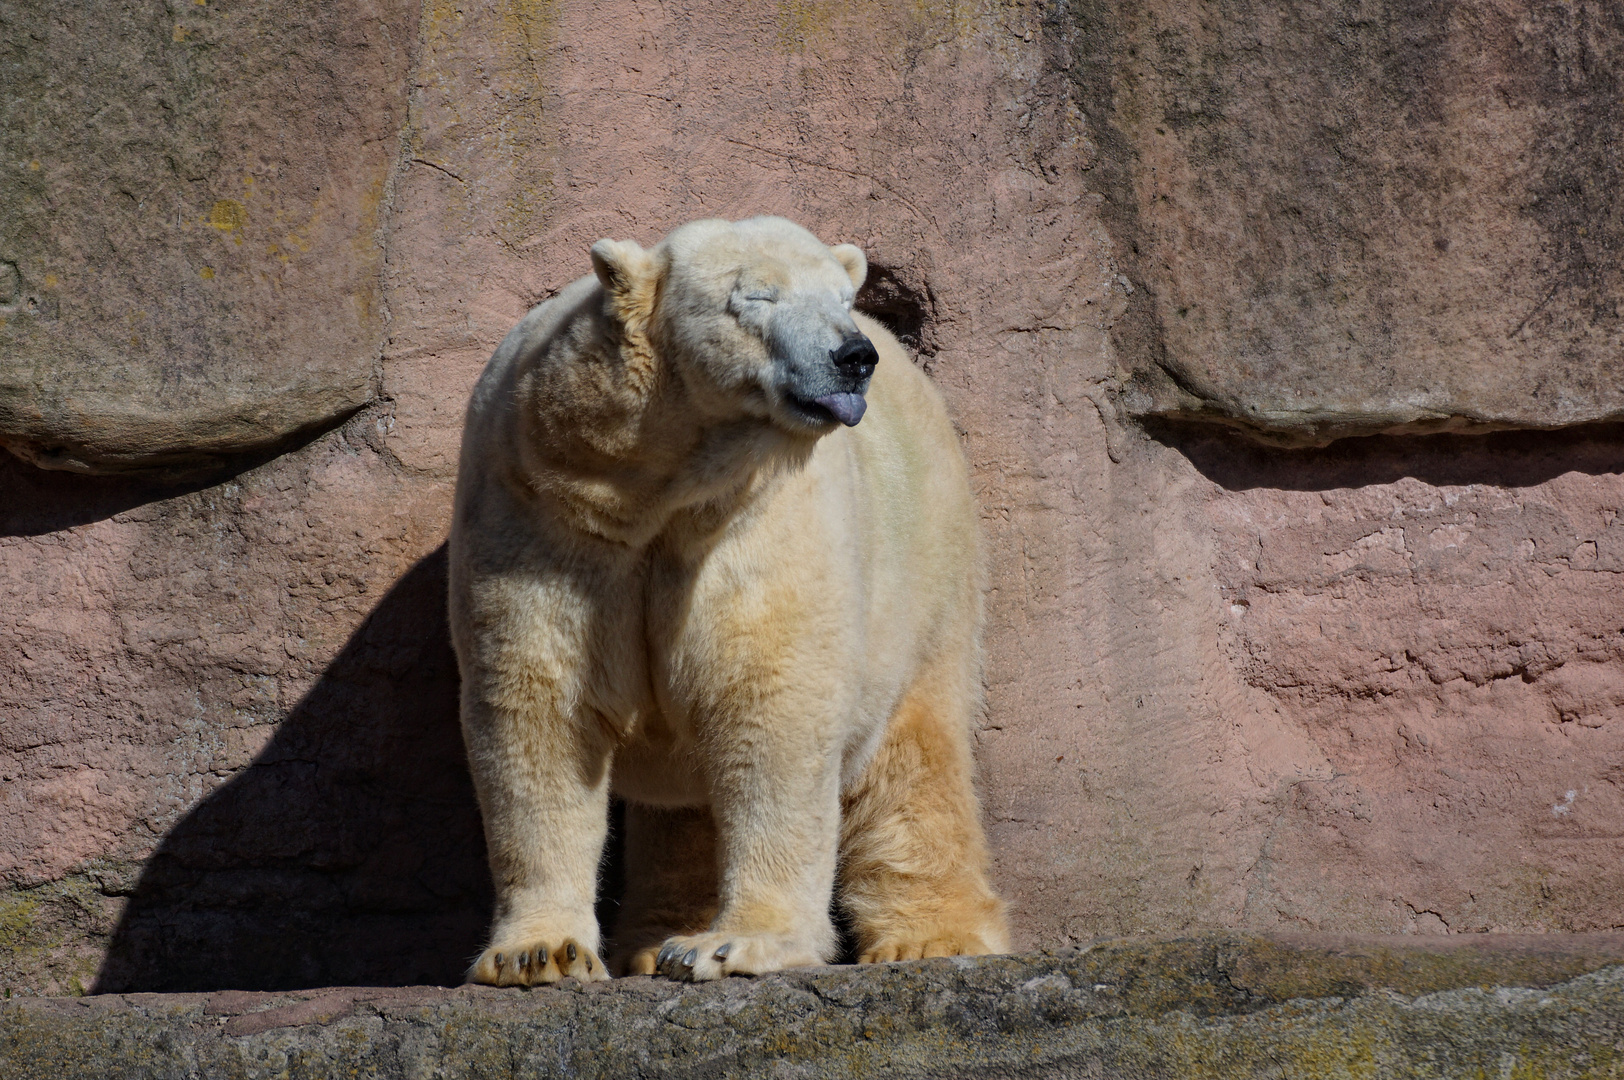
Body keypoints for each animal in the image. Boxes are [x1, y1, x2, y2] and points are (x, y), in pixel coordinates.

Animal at [448, 214, 1000, 980]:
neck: (655, 487)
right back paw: (656, 940)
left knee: (914, 754)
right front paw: (537, 953)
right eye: (756, 297)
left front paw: (738, 944)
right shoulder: (543, 510)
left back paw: (933, 936)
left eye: (842, 298)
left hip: (925, 563)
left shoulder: (756, 519)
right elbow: (541, 709)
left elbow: (767, 704)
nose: (852, 355)